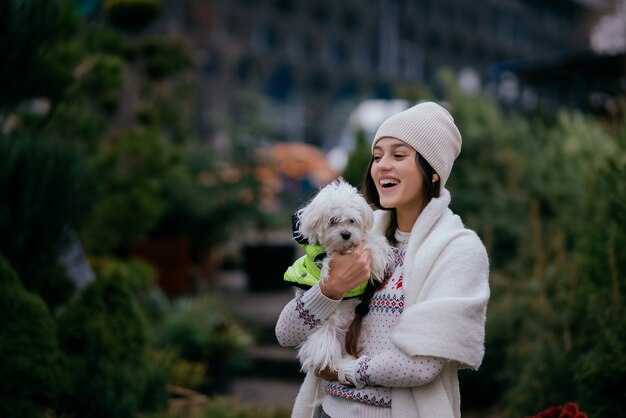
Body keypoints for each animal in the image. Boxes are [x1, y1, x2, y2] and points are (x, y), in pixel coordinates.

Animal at [292, 178, 390, 374]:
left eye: (352, 221)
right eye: (333, 221)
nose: (346, 234)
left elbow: (371, 243)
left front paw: (376, 263)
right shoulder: (323, 259)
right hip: (326, 332)